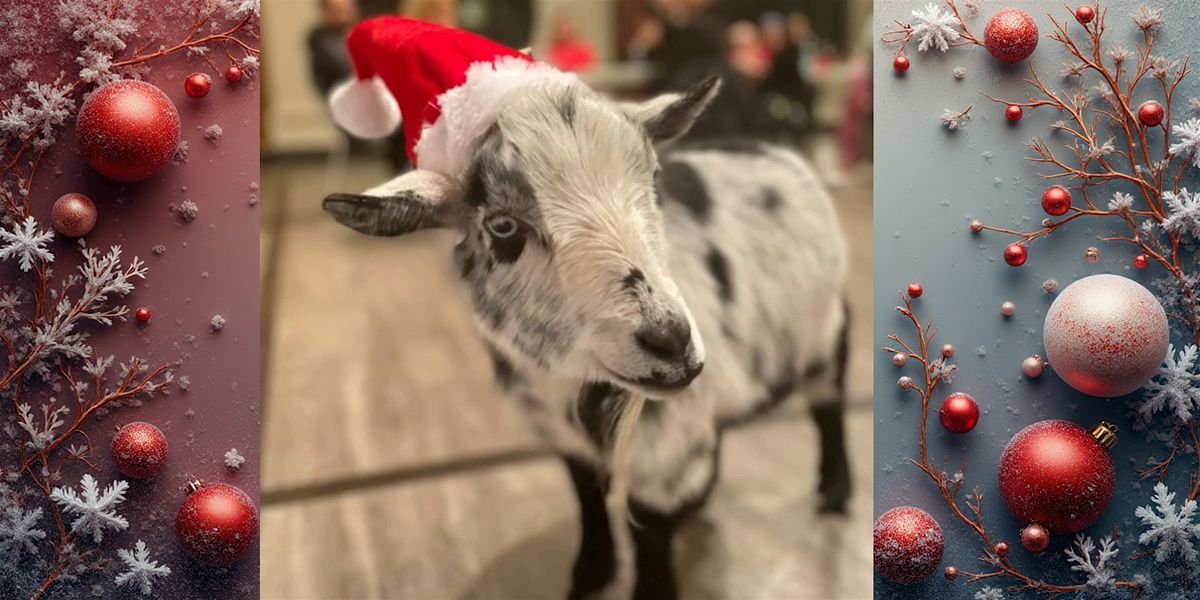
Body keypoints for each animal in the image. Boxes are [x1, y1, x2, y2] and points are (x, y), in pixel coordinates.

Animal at [323, 75, 851, 600]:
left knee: (829, 406)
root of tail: (766, 143)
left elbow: (652, 533)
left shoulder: (666, 449)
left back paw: (835, 492)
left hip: (827, 327)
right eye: (502, 226)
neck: (567, 382)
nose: (671, 340)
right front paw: (590, 574)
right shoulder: (568, 435)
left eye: (654, 180)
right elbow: (588, 500)